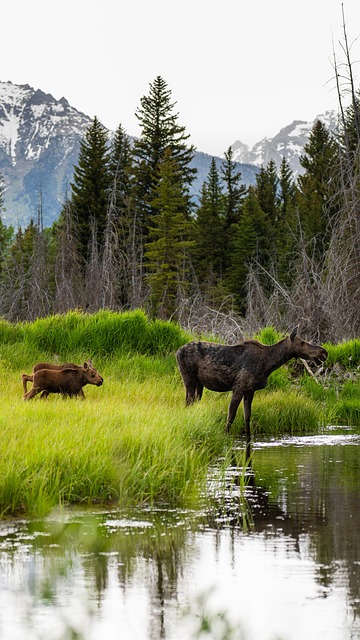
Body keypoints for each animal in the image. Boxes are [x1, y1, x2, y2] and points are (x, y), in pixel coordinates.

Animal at [176, 328, 328, 438]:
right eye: (302, 342)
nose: (323, 352)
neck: (268, 365)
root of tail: (177, 351)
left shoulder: (250, 390)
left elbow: (247, 416)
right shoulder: (238, 387)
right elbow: (231, 416)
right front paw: (225, 435)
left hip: (199, 384)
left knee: (193, 403)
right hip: (188, 378)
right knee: (188, 402)